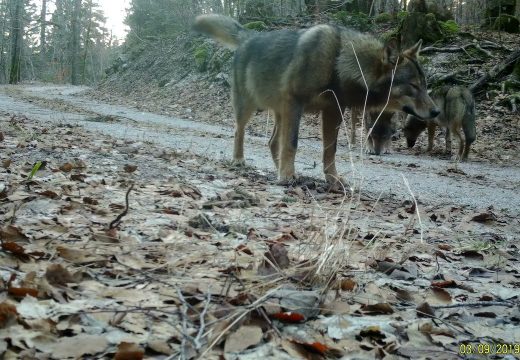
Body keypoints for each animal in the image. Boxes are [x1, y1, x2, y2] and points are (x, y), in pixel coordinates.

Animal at [194, 14, 438, 186]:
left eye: (425, 85)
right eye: (414, 86)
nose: (436, 112)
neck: (338, 63)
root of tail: (250, 35)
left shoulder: (333, 112)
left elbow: (330, 150)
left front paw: (332, 179)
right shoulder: (296, 103)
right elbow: (292, 143)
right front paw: (287, 176)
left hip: (281, 112)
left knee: (272, 142)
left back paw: (278, 168)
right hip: (250, 107)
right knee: (239, 131)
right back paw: (240, 161)